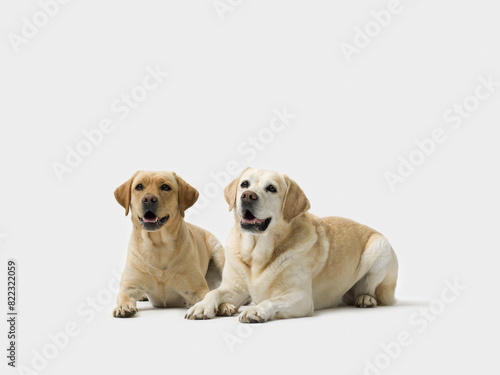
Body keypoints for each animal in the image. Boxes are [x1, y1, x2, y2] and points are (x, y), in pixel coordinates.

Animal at [113, 172, 225, 318]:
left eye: (165, 187)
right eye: (139, 186)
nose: (149, 199)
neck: (158, 245)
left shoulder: (197, 288)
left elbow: (209, 295)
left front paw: (221, 305)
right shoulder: (129, 286)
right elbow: (123, 296)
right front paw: (123, 306)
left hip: (218, 254)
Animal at [186, 168, 400, 324]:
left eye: (271, 188)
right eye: (244, 184)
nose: (247, 196)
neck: (256, 253)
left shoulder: (301, 297)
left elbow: (271, 300)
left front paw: (256, 310)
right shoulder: (233, 287)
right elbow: (214, 292)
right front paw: (201, 306)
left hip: (380, 248)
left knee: (373, 291)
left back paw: (365, 299)